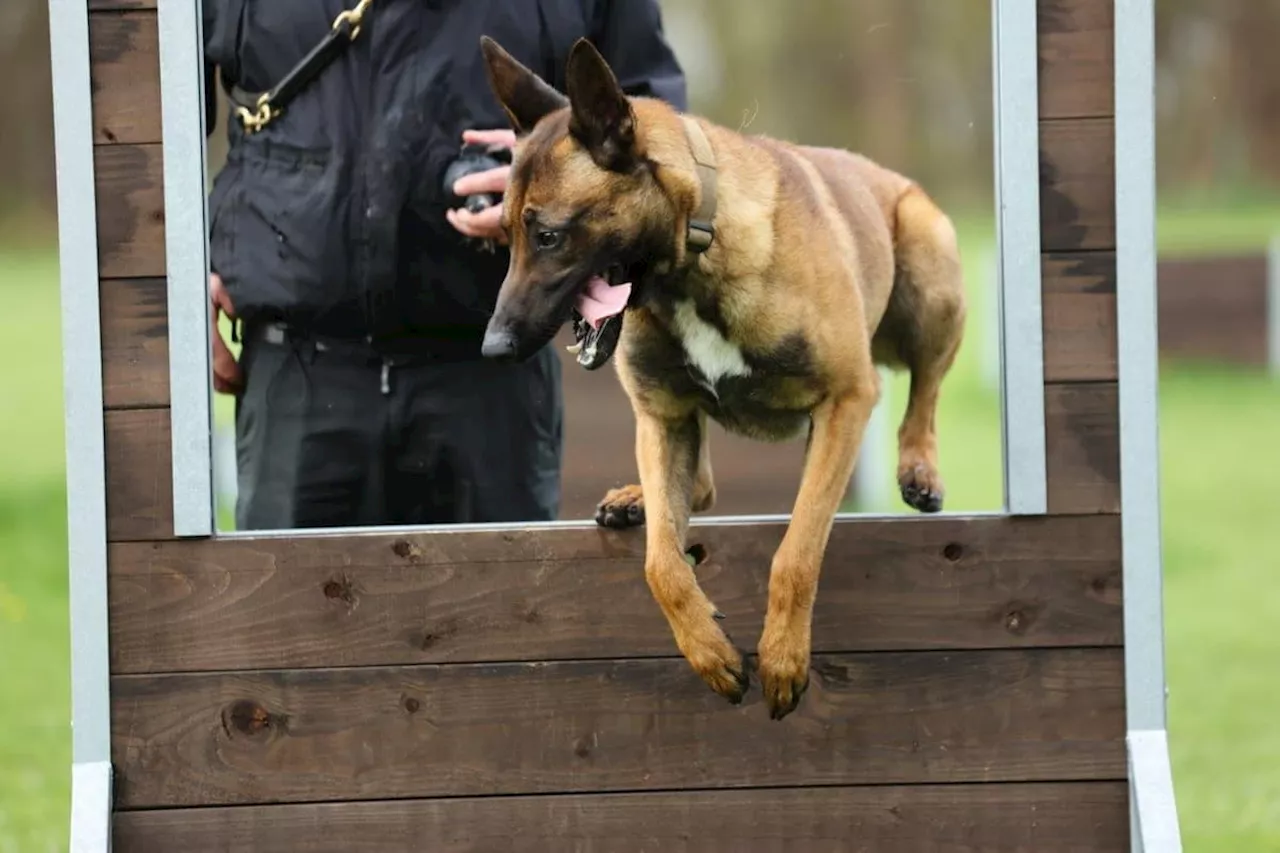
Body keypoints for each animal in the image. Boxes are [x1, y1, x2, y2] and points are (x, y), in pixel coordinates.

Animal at [481, 38, 967, 717]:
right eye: (505, 237)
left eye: (549, 235)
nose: (493, 347)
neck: (694, 258)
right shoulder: (664, 418)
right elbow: (662, 565)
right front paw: (710, 653)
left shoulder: (846, 401)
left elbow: (796, 552)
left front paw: (783, 657)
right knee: (701, 488)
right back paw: (637, 499)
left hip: (929, 268)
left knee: (925, 390)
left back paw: (919, 467)